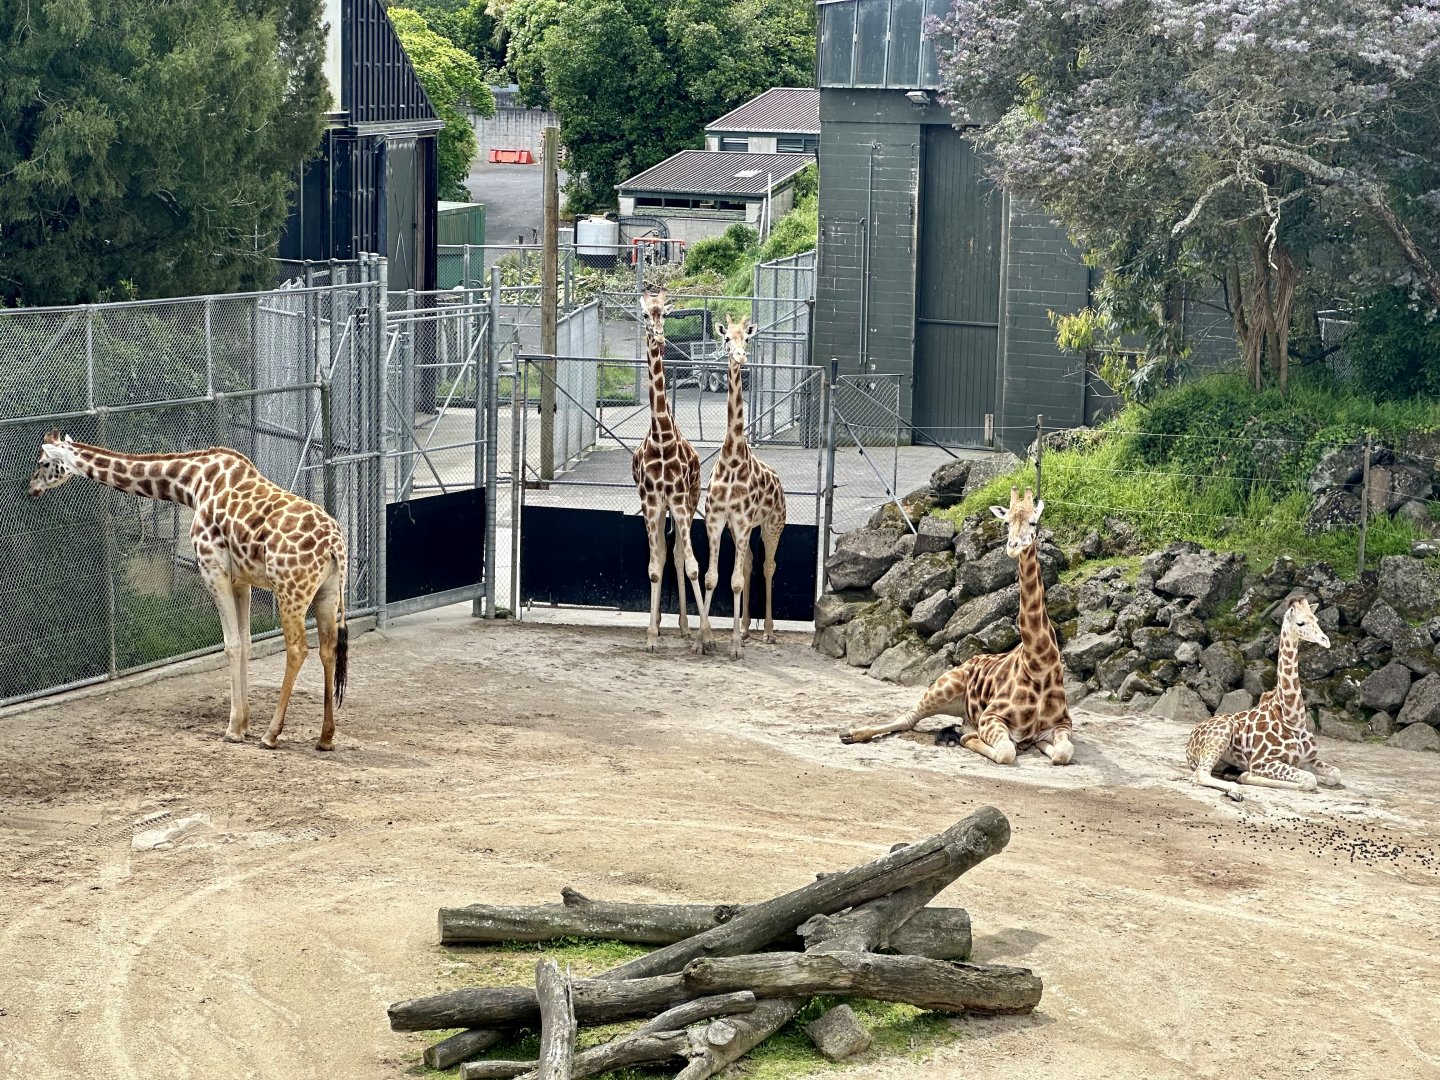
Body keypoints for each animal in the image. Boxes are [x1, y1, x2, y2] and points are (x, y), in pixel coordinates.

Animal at [28, 431, 350, 751]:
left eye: (43, 462)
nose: (31, 488)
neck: (191, 482)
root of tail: (335, 545)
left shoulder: (212, 569)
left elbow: (231, 645)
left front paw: (233, 728)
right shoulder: (241, 580)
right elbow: (245, 643)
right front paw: (244, 723)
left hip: (290, 591)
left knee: (298, 649)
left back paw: (271, 734)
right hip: (327, 592)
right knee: (328, 648)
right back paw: (325, 737)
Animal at [698, 313, 786, 659]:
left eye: (746, 339)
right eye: (726, 338)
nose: (740, 356)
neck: (733, 459)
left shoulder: (744, 520)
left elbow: (733, 581)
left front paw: (734, 646)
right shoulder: (717, 519)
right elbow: (712, 577)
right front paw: (703, 640)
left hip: (772, 524)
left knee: (769, 565)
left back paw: (769, 632)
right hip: (744, 530)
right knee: (749, 565)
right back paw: (748, 628)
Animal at [839, 487, 1074, 765]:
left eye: (1033, 522)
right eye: (1006, 523)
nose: (1012, 547)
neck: (1039, 664)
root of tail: (971, 660)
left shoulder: (1062, 724)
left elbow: (1062, 752)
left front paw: (1039, 746)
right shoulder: (991, 717)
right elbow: (1007, 752)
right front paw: (969, 739)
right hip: (943, 686)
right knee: (907, 719)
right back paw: (850, 733)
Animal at [1185, 597, 1342, 801]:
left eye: (1316, 619)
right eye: (1300, 623)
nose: (1326, 641)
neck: (1293, 718)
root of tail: (1189, 743)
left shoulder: (1308, 759)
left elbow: (1336, 774)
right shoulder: (1262, 761)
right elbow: (1309, 779)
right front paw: (1245, 776)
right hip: (1221, 734)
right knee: (1200, 774)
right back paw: (1235, 789)